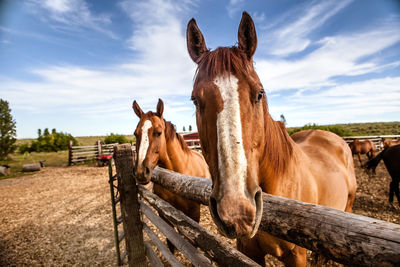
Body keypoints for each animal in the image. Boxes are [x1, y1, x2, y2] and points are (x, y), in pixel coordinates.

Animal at [132, 99, 211, 252]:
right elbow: (170, 241)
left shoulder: (193, 215)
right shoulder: (164, 213)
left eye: (158, 133)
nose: (140, 172)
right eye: (135, 134)